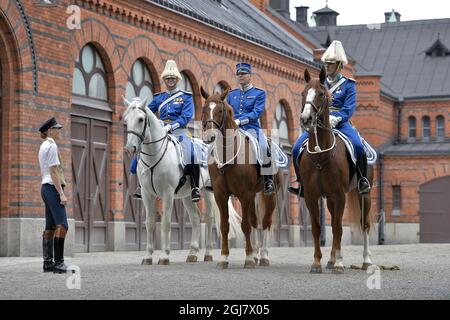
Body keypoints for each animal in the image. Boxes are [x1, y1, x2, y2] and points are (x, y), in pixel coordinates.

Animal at [121, 97, 241, 264]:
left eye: (140, 119)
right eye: (126, 119)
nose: (130, 148)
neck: (155, 154)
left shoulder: (168, 193)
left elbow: (165, 223)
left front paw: (164, 256)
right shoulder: (146, 194)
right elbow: (149, 223)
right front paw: (148, 256)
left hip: (209, 192)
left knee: (209, 220)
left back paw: (208, 253)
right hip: (187, 196)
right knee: (196, 218)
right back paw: (192, 253)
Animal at [298, 67, 374, 272]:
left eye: (321, 94)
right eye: (303, 93)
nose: (306, 119)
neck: (320, 156)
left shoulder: (340, 195)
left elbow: (339, 227)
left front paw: (339, 263)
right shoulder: (311, 196)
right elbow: (318, 227)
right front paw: (317, 262)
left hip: (364, 194)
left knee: (364, 224)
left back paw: (366, 260)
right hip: (330, 199)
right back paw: (331, 260)